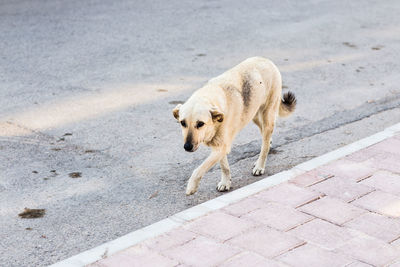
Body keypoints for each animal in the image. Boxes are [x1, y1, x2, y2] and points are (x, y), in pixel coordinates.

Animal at [173, 57, 296, 195]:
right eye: (183, 123)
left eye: (200, 124)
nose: (187, 147)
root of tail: (265, 59)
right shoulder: (219, 146)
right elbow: (224, 167)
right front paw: (226, 182)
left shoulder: (221, 147)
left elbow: (199, 169)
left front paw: (192, 186)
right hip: (253, 115)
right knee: (265, 134)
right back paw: (268, 143)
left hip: (267, 115)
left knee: (264, 143)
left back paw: (260, 165)